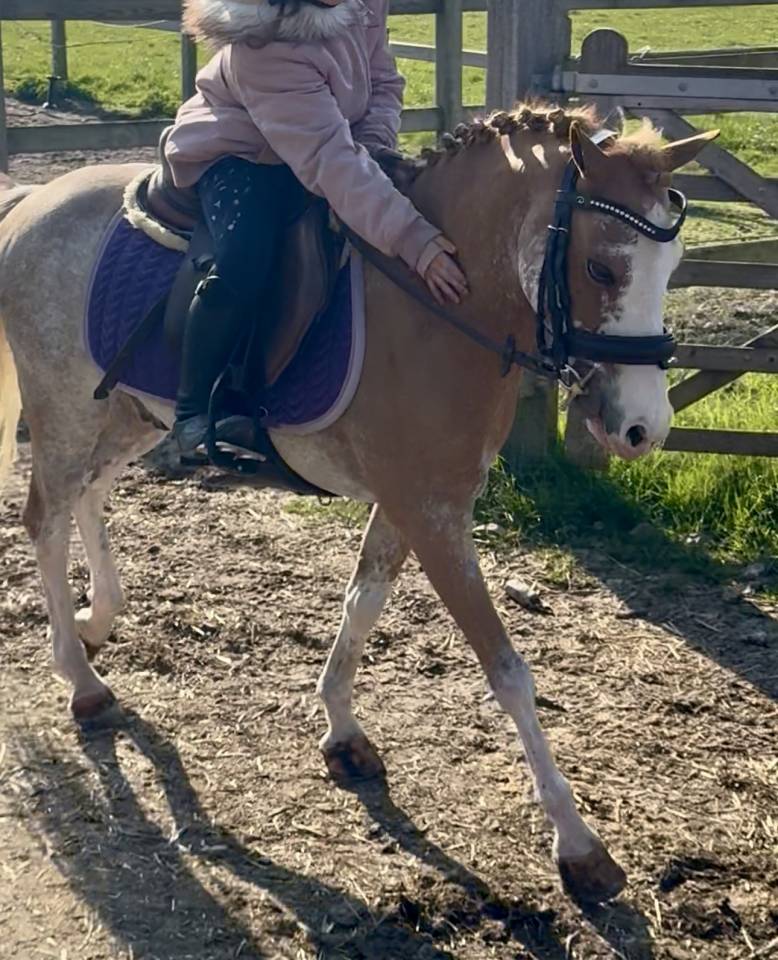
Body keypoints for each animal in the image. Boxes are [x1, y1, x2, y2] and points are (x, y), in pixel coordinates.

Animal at [0, 105, 714, 903]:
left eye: (673, 268)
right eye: (601, 268)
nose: (643, 428)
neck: (441, 304)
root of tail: (34, 199)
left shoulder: (413, 504)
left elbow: (362, 602)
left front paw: (342, 731)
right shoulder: (433, 514)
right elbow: (508, 671)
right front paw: (579, 843)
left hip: (125, 412)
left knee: (87, 497)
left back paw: (97, 622)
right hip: (66, 409)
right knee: (45, 520)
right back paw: (82, 680)